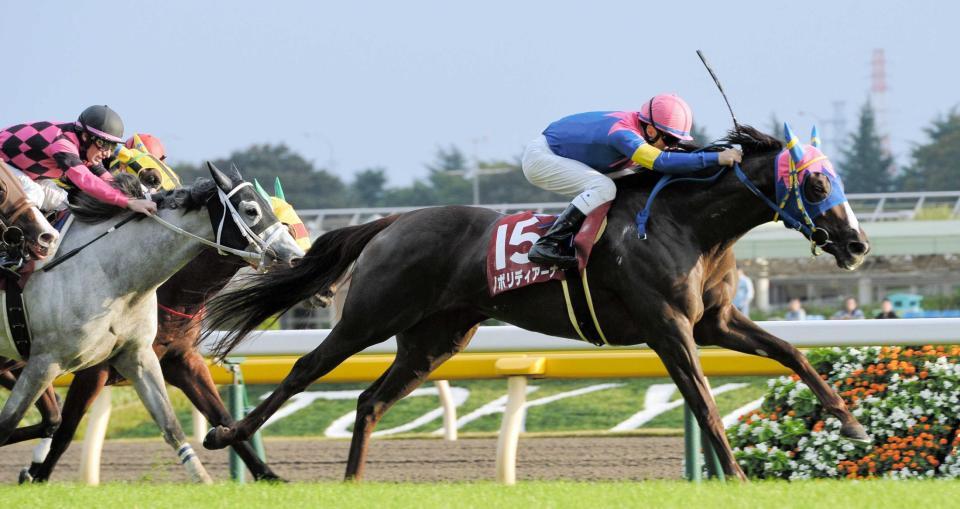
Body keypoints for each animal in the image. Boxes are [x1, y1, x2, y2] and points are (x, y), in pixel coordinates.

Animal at [0, 163, 303, 483]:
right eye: (251, 210)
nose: (296, 258)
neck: (111, 272)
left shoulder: (158, 357)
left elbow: (193, 419)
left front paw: (256, 473)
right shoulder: (64, 365)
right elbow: (59, 428)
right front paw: (37, 474)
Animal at [201, 126, 871, 481]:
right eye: (817, 182)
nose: (858, 243)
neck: (688, 225)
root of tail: (394, 221)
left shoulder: (716, 322)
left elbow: (792, 354)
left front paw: (851, 421)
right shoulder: (667, 328)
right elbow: (705, 402)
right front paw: (735, 475)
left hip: (435, 340)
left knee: (369, 401)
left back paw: (353, 479)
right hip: (371, 316)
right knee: (305, 370)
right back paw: (228, 436)